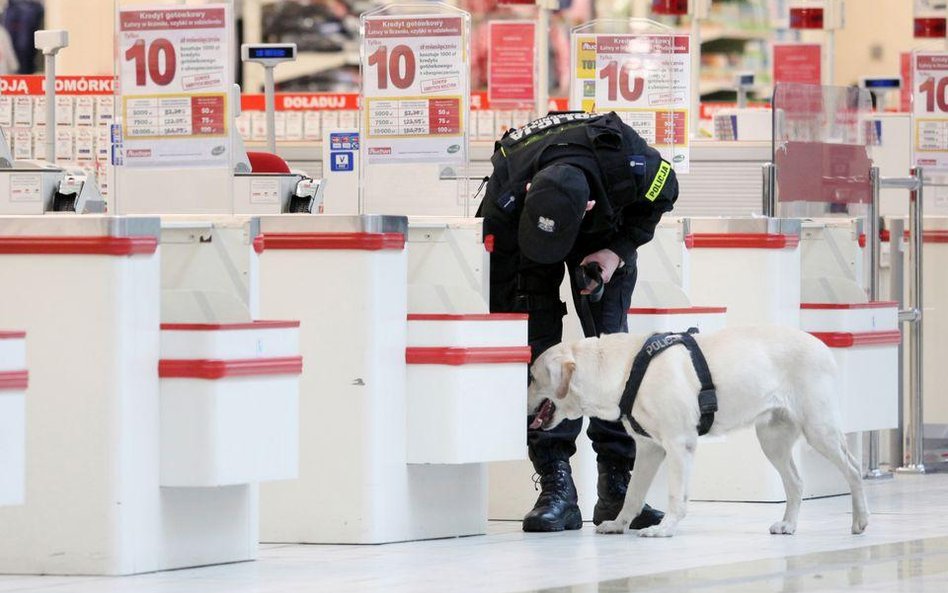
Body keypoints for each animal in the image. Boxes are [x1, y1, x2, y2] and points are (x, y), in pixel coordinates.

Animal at [528, 326, 872, 540]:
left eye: (532, 377)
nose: (520, 400)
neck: (624, 370)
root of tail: (820, 345)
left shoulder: (679, 445)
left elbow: (675, 495)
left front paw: (665, 529)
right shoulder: (649, 449)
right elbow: (633, 495)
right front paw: (619, 524)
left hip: (819, 429)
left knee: (853, 468)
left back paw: (860, 520)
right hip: (772, 439)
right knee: (796, 482)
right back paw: (789, 524)